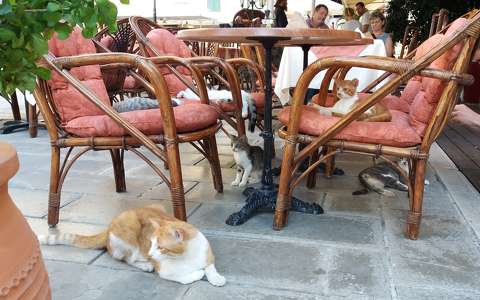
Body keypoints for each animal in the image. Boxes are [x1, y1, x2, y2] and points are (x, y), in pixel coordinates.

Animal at [37, 204, 225, 286]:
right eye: (152, 243)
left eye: (160, 247)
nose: (150, 254)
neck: (185, 256)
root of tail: (108, 228)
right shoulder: (165, 271)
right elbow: (184, 277)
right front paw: (198, 274)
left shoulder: (207, 254)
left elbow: (210, 267)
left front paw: (216, 278)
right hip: (128, 233)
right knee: (127, 259)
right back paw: (145, 265)